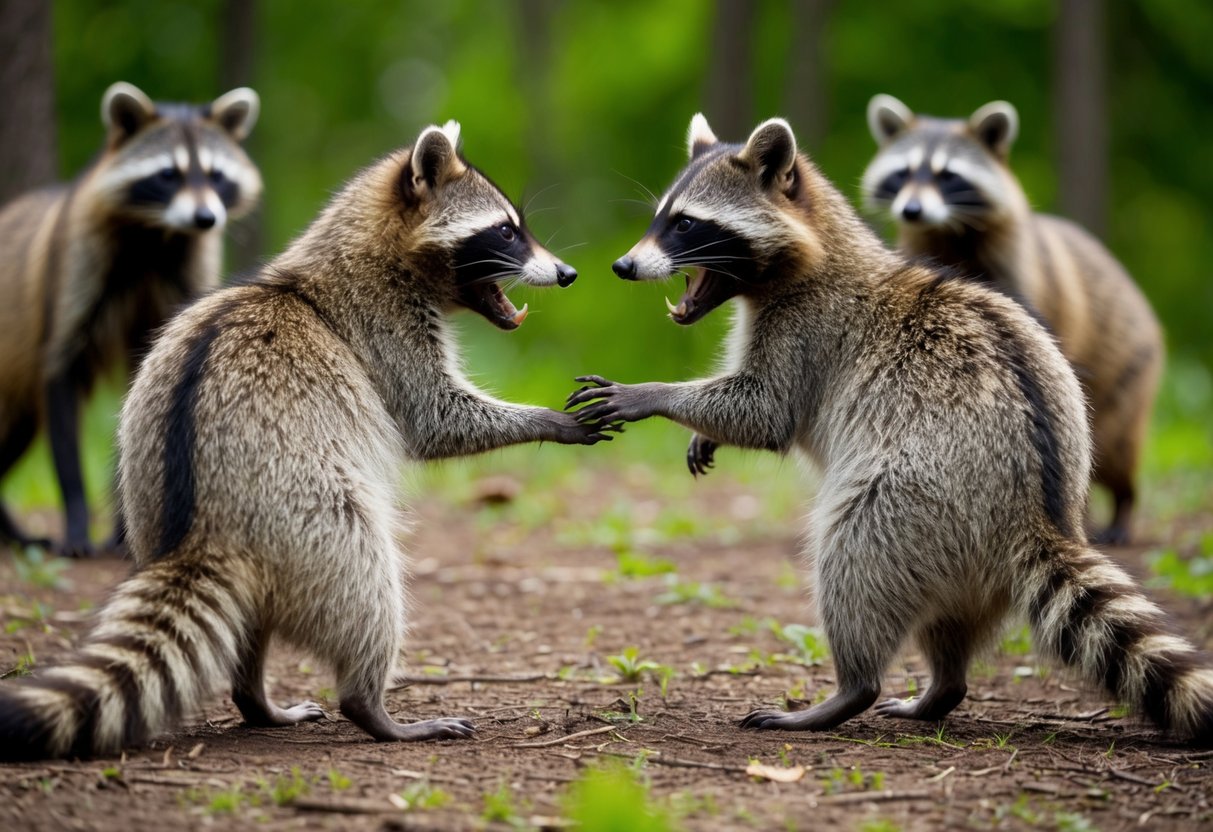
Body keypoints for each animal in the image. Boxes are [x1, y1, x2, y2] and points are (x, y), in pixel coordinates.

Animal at [0, 82, 262, 558]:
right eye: (168, 175)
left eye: (215, 175)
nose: (206, 218)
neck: (158, 235)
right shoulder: (77, 266)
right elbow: (61, 376)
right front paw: (78, 518)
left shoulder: (185, 273)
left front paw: (126, 530)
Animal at [861, 94, 1163, 545]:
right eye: (904, 172)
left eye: (948, 176)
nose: (911, 211)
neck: (949, 231)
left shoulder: (1026, 277)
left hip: (1127, 369)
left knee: (1114, 447)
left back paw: (1120, 505)